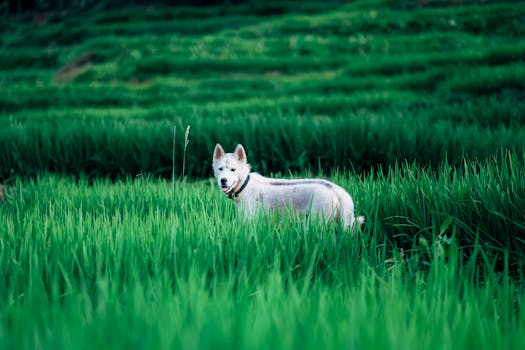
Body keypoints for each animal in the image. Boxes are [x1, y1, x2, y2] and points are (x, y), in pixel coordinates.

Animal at [211, 144, 362, 231]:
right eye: (220, 169)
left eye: (233, 170)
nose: (223, 181)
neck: (244, 185)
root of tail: (336, 191)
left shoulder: (250, 220)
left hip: (319, 223)